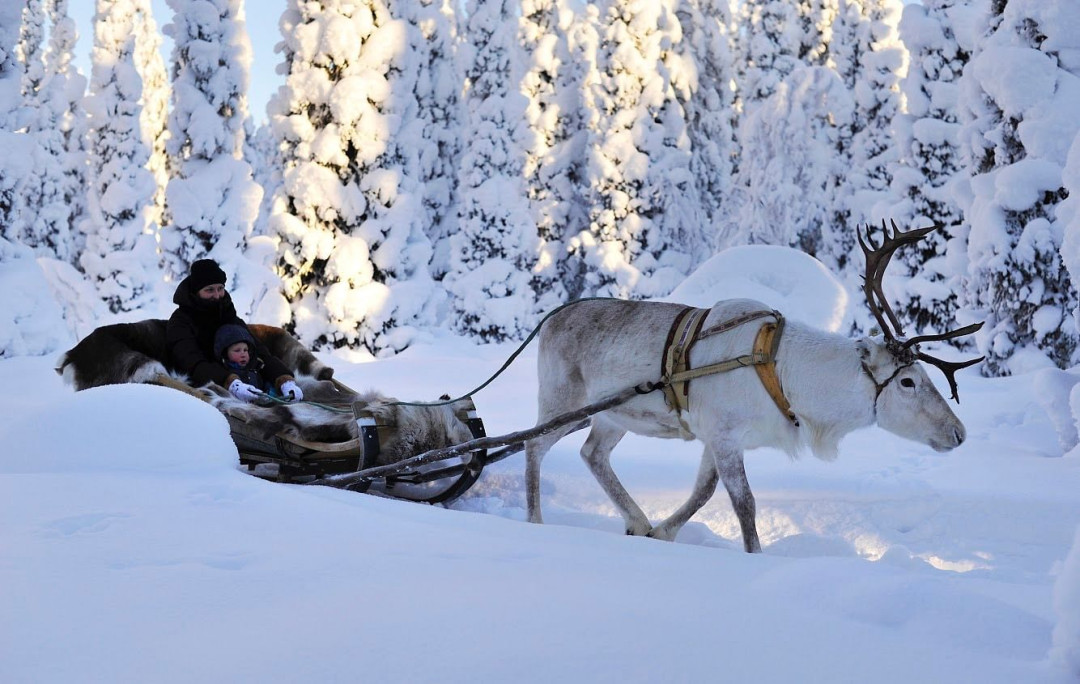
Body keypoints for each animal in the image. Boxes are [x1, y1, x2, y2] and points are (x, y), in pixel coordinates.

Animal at [523, 222, 982, 552]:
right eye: (908, 381)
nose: (959, 433)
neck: (790, 377)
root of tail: (550, 320)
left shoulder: (717, 436)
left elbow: (704, 492)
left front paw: (662, 533)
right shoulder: (725, 434)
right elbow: (744, 504)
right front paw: (754, 556)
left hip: (609, 417)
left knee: (592, 454)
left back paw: (636, 521)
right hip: (562, 402)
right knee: (533, 444)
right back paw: (535, 523)